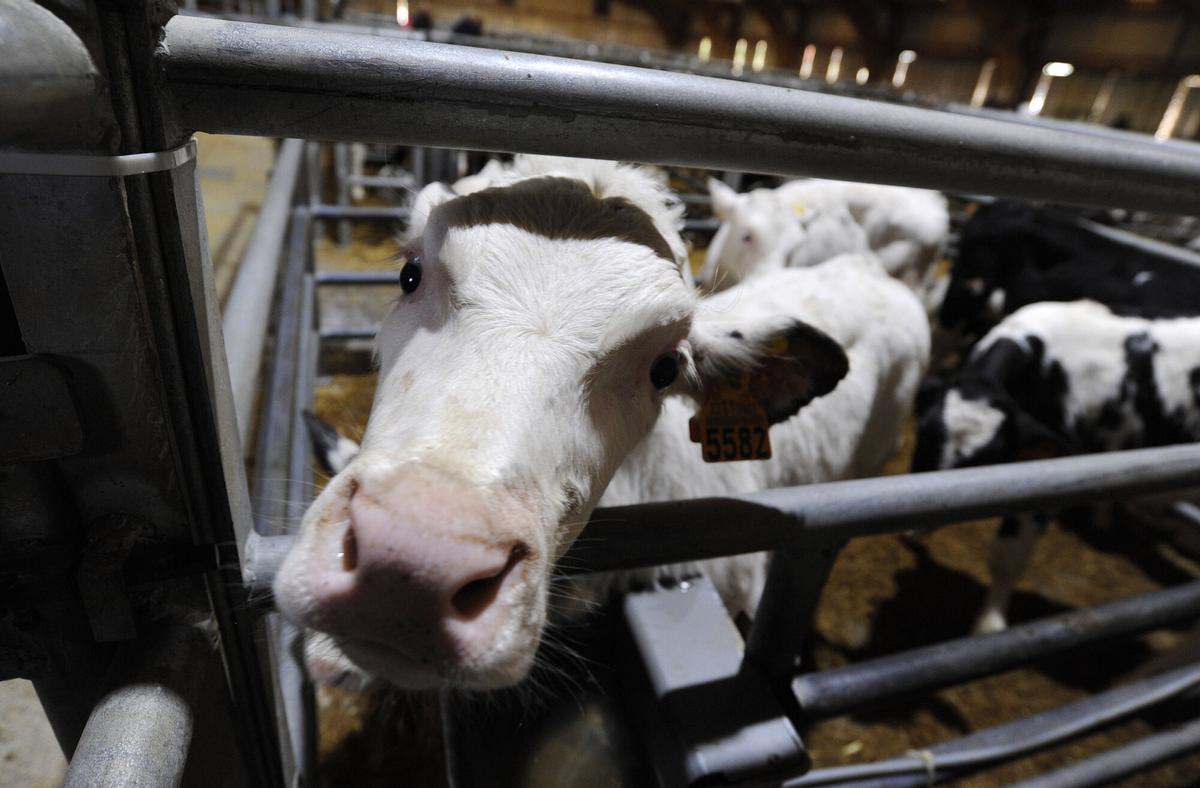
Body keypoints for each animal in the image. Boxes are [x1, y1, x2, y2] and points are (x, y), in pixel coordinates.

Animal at [913, 299, 1200, 632]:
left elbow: (1007, 557)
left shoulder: (1044, 481)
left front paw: (989, 625)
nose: (922, 519)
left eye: (987, 459)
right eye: (924, 430)